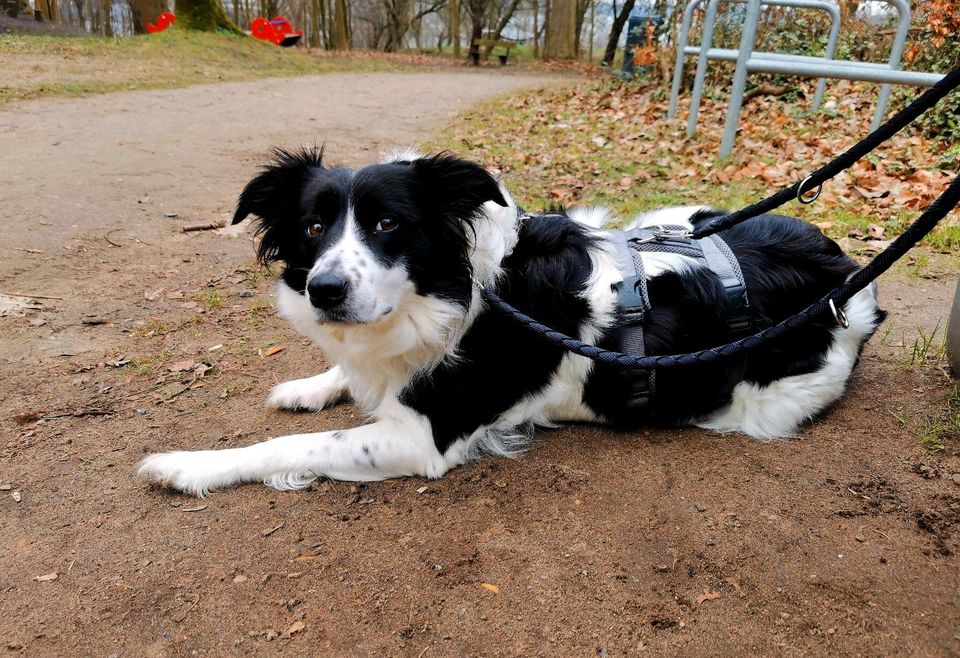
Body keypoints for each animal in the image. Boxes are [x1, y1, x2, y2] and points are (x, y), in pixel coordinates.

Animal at [137, 149, 884, 494]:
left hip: (761, 406)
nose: (324, 290)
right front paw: (309, 385)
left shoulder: (422, 436)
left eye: (389, 224)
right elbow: (349, 374)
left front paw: (188, 465)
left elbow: (292, 447)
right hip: (675, 216)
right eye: (315, 227)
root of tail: (848, 276)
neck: (451, 292)